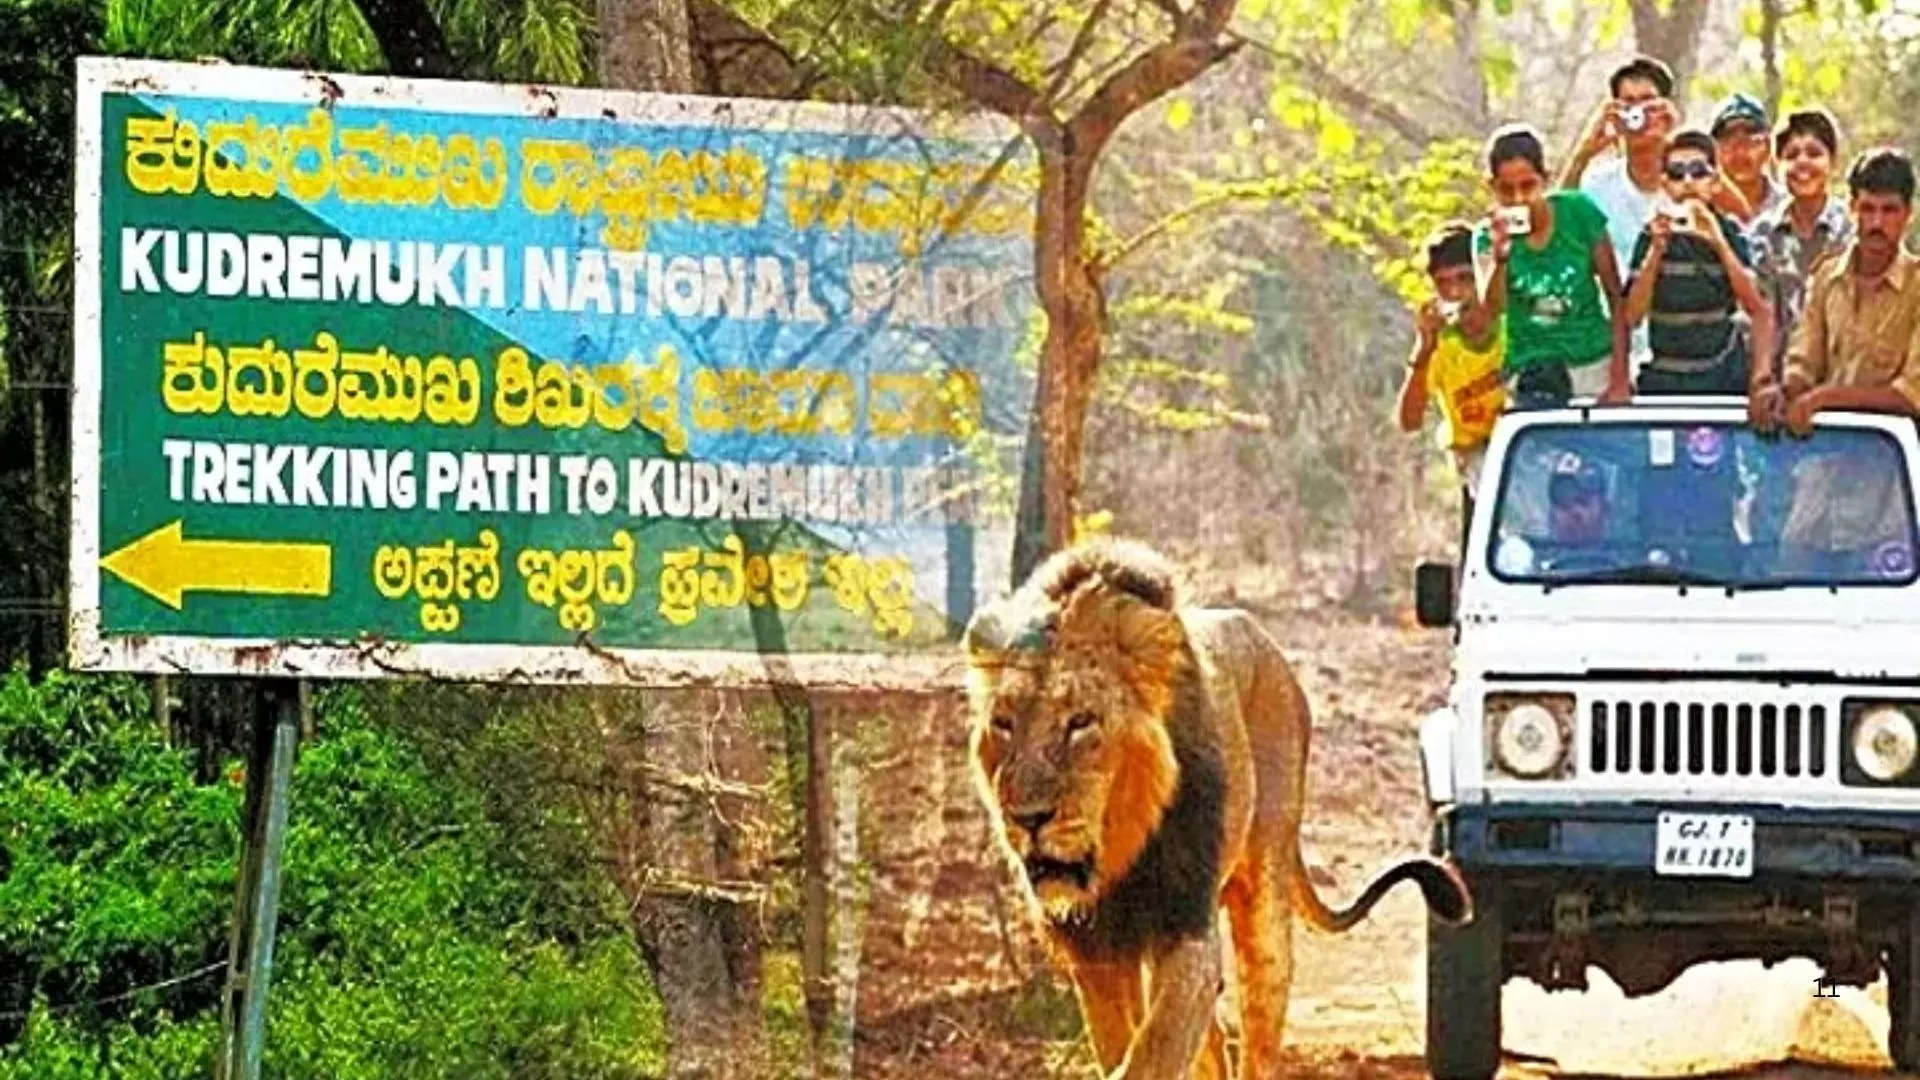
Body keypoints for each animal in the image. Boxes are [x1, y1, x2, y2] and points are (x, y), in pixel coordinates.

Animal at [960, 534, 1466, 1068]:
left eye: (1081, 722)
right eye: (1004, 724)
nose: (1027, 818)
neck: (1121, 853)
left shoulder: (1187, 928)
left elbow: (1155, 1049)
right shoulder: (1095, 954)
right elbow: (1126, 1048)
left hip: (1264, 902)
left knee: (1259, 1026)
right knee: (1214, 1042)